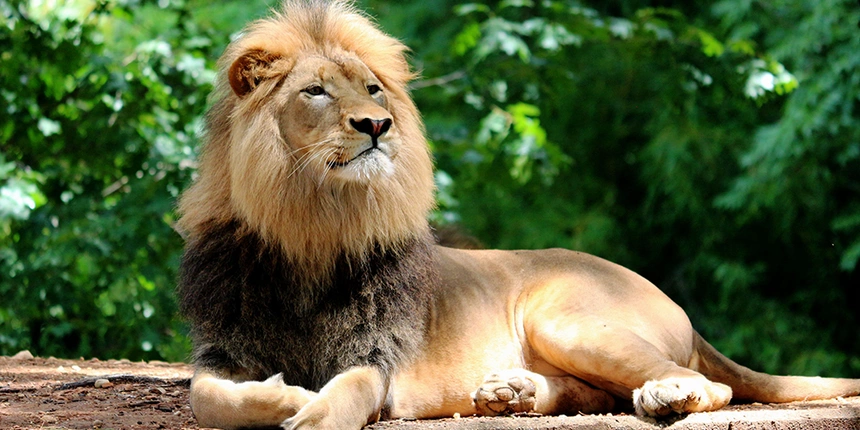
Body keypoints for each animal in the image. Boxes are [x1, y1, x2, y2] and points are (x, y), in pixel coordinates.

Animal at [175, 0, 860, 430]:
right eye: (314, 92)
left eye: (372, 90)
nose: (377, 124)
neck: (310, 226)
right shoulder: (221, 350)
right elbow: (211, 399)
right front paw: (283, 391)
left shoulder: (375, 358)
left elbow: (344, 394)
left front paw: (310, 407)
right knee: (595, 395)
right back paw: (514, 392)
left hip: (566, 320)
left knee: (709, 388)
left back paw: (664, 394)